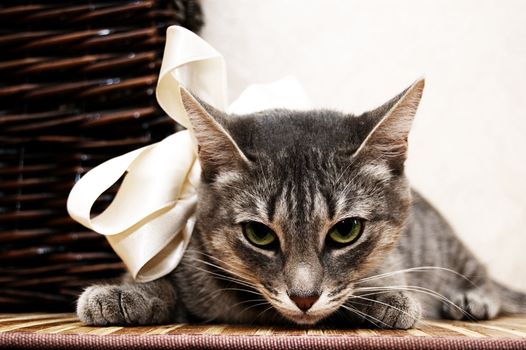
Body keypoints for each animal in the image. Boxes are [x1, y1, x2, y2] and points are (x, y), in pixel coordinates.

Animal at [76, 79, 524, 328]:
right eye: (259, 234)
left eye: (346, 230)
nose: (303, 297)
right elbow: (165, 284)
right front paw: (127, 294)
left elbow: (366, 289)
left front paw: (387, 300)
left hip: (449, 250)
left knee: (482, 274)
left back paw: (473, 299)